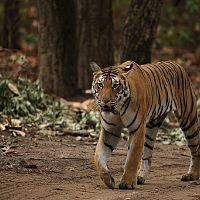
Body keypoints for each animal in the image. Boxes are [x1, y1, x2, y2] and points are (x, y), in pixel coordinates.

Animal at [90, 60, 200, 190]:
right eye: (100, 84)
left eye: (115, 85)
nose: (105, 101)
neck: (117, 109)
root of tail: (177, 64)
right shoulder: (110, 130)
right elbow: (98, 156)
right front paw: (108, 179)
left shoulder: (137, 128)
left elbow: (132, 157)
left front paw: (127, 183)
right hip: (151, 127)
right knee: (147, 154)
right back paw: (140, 177)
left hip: (188, 119)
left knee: (196, 149)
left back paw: (192, 175)